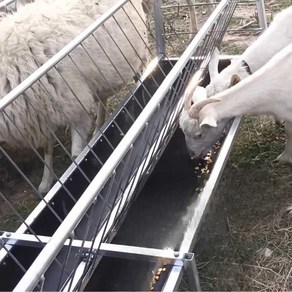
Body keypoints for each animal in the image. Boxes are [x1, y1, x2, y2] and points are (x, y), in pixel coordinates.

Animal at [0, 0, 149, 196]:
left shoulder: (76, 108)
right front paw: (46, 182)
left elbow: (76, 156)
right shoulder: (44, 113)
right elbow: (47, 148)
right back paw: (99, 128)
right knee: (102, 99)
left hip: (139, 50)